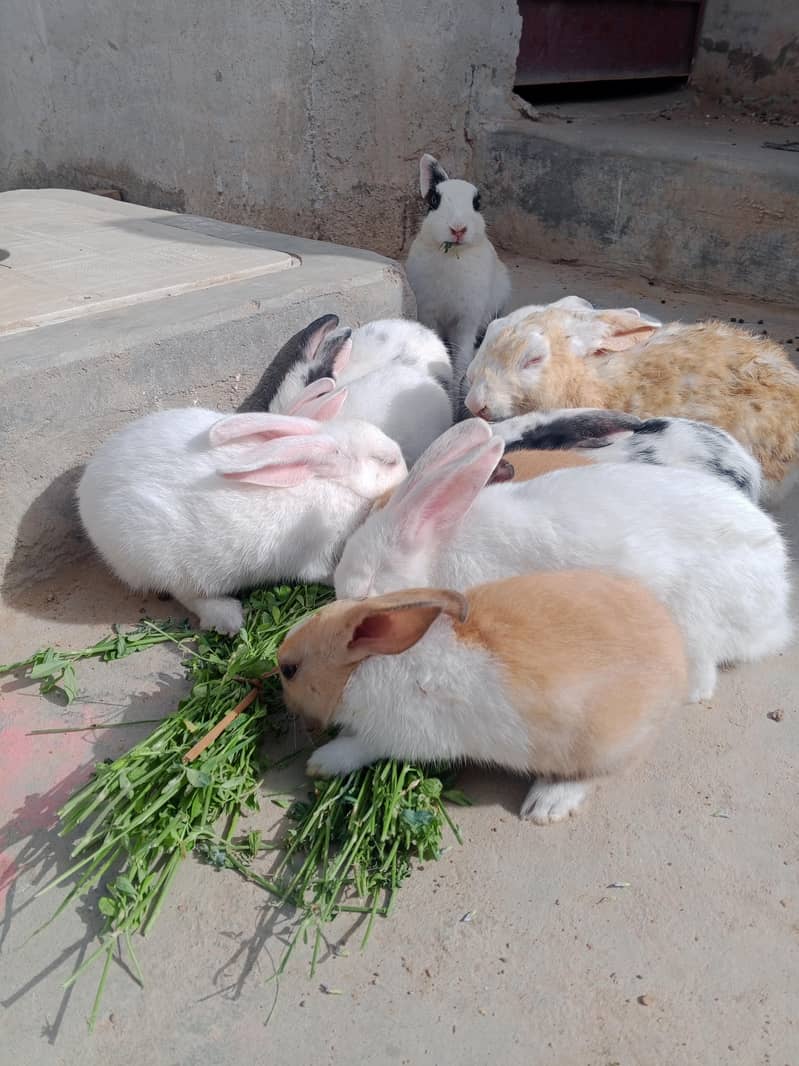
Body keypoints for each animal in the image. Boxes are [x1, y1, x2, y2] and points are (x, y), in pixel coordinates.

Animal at [77, 390, 407, 635]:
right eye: (386, 461)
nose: (405, 470)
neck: (329, 481)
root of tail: (85, 494)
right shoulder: (314, 555)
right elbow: (325, 573)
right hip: (167, 563)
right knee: (188, 595)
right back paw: (228, 618)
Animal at [277, 571, 688, 823]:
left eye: (290, 670)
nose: (283, 697)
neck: (361, 670)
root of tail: (679, 660)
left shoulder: (399, 737)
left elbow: (361, 746)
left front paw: (321, 761)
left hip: (600, 743)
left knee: (598, 773)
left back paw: (546, 805)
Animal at [334, 420, 792, 704]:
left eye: (369, 582)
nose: (342, 602)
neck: (438, 548)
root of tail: (777, 608)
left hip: (692, 621)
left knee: (700, 681)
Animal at [405, 153, 511, 380]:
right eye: (434, 201)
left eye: (477, 203)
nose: (458, 229)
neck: (452, 254)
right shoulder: (428, 311)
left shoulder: (467, 318)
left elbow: (461, 357)